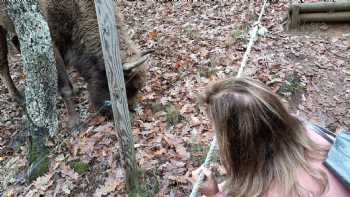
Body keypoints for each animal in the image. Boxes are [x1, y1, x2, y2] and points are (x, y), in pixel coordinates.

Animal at [0, 0, 149, 127]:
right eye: (124, 87)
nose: (131, 112)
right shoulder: (51, 43)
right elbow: (65, 87)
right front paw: (74, 121)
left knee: (16, 43)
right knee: (4, 65)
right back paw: (19, 97)